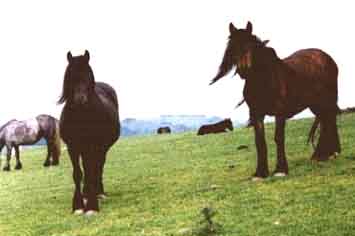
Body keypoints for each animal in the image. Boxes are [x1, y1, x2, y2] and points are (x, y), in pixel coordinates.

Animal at [57, 50, 120, 216]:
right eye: (70, 76)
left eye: (88, 76)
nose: (80, 99)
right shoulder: (73, 147)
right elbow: (78, 173)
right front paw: (78, 205)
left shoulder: (93, 146)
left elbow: (92, 171)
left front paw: (92, 206)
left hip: (101, 149)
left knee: (98, 167)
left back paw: (99, 193)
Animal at [211, 22, 342, 180]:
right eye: (233, 47)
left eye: (250, 46)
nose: (243, 70)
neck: (265, 80)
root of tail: (326, 57)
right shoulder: (256, 114)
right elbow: (259, 141)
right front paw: (260, 173)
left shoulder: (280, 112)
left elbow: (278, 138)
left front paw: (280, 170)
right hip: (316, 104)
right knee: (325, 121)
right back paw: (321, 155)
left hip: (328, 99)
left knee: (330, 120)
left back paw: (330, 153)